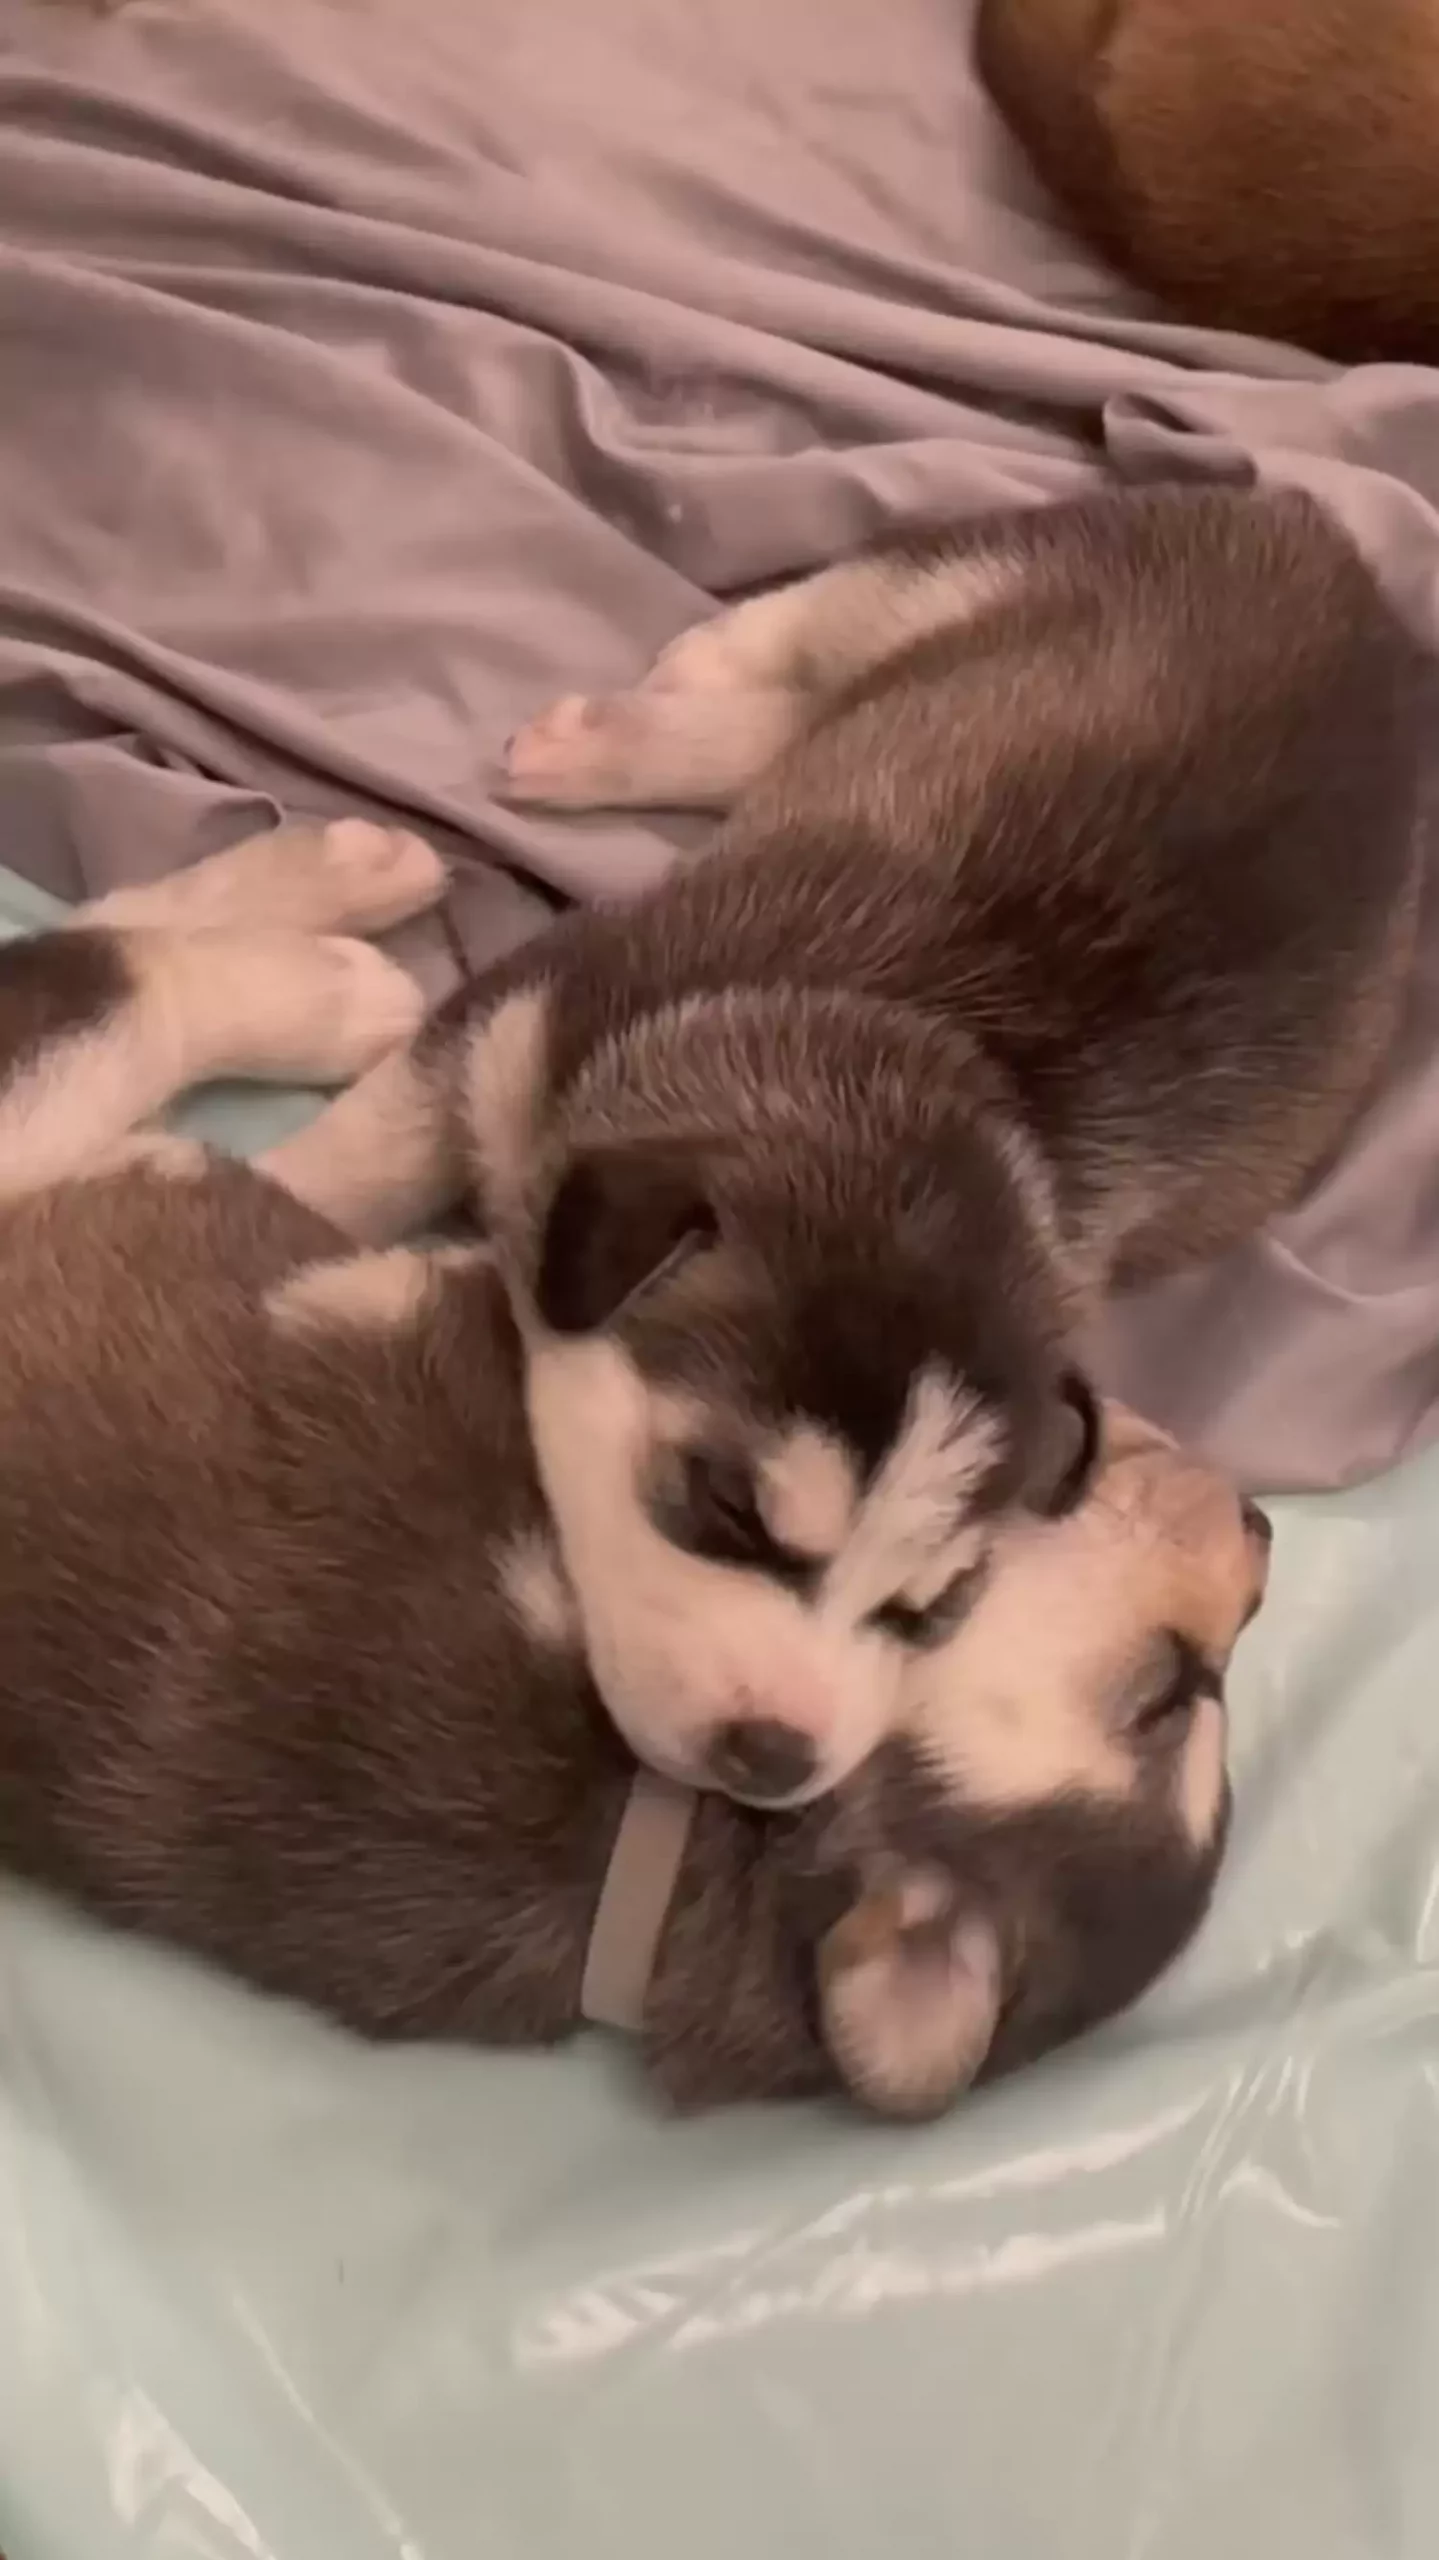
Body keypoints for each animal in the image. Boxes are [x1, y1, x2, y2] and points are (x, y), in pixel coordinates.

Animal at [0, 824, 1264, 2119]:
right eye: (1174, 1695)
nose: (1261, 1529)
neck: (700, 1863)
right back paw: (331, 916)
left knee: (109, 973)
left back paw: (327, 954)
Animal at [263, 476, 1413, 1802]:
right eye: (725, 1508)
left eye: (928, 1609)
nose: (775, 1760)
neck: (912, 1054)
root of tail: (1366, 595)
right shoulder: (518, 1017)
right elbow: (358, 1158)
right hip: (989, 562)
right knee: (834, 607)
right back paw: (668, 684)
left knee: (812, 714)